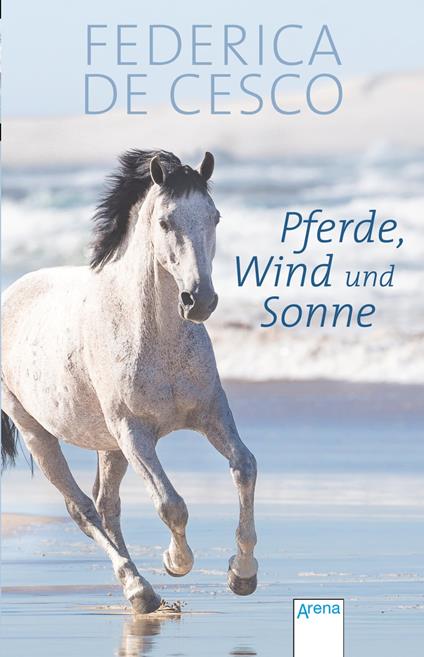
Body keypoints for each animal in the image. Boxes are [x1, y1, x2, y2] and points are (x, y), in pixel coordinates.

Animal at [1, 150, 258, 613]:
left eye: (214, 217)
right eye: (166, 222)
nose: (200, 301)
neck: (154, 334)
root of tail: (13, 292)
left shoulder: (212, 414)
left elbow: (244, 468)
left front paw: (242, 574)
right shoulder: (134, 433)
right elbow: (171, 504)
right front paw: (176, 562)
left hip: (107, 444)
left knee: (106, 505)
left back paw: (141, 589)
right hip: (40, 435)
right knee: (82, 508)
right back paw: (139, 590)